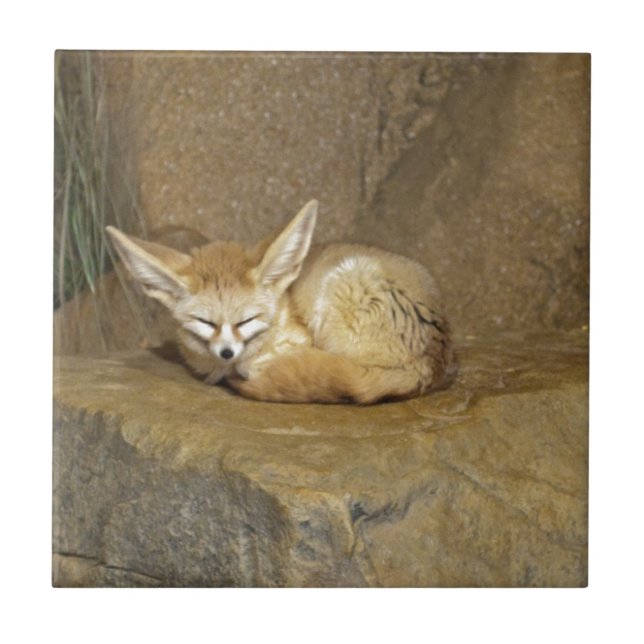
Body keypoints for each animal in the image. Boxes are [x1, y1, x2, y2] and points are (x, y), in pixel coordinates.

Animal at [106, 200, 452, 404]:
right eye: (206, 322)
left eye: (246, 320)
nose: (227, 352)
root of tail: (431, 363)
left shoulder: (298, 341)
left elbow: (261, 366)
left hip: (339, 288)